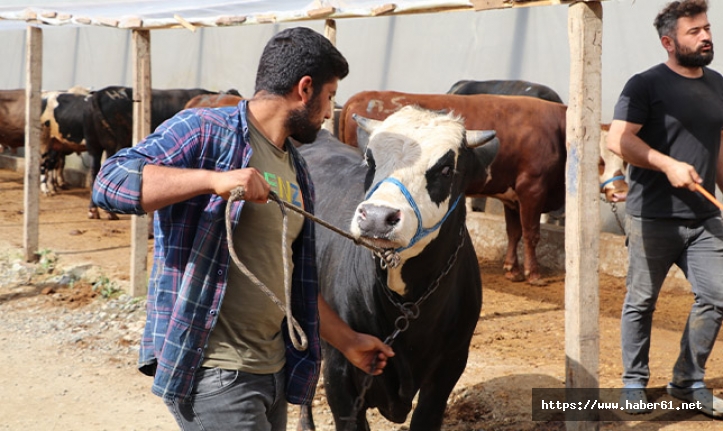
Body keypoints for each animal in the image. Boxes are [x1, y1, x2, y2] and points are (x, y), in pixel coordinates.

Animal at [85, 86, 215, 219]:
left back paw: (93, 210)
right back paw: (109, 213)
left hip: (94, 146)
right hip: (112, 144)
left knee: (93, 173)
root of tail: (99, 94)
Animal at [336, 91, 568, 286]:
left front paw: (512, 269)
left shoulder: (512, 198)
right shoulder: (532, 188)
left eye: (446, 169)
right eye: (370, 160)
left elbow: (513, 232)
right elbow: (531, 233)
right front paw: (534, 274)